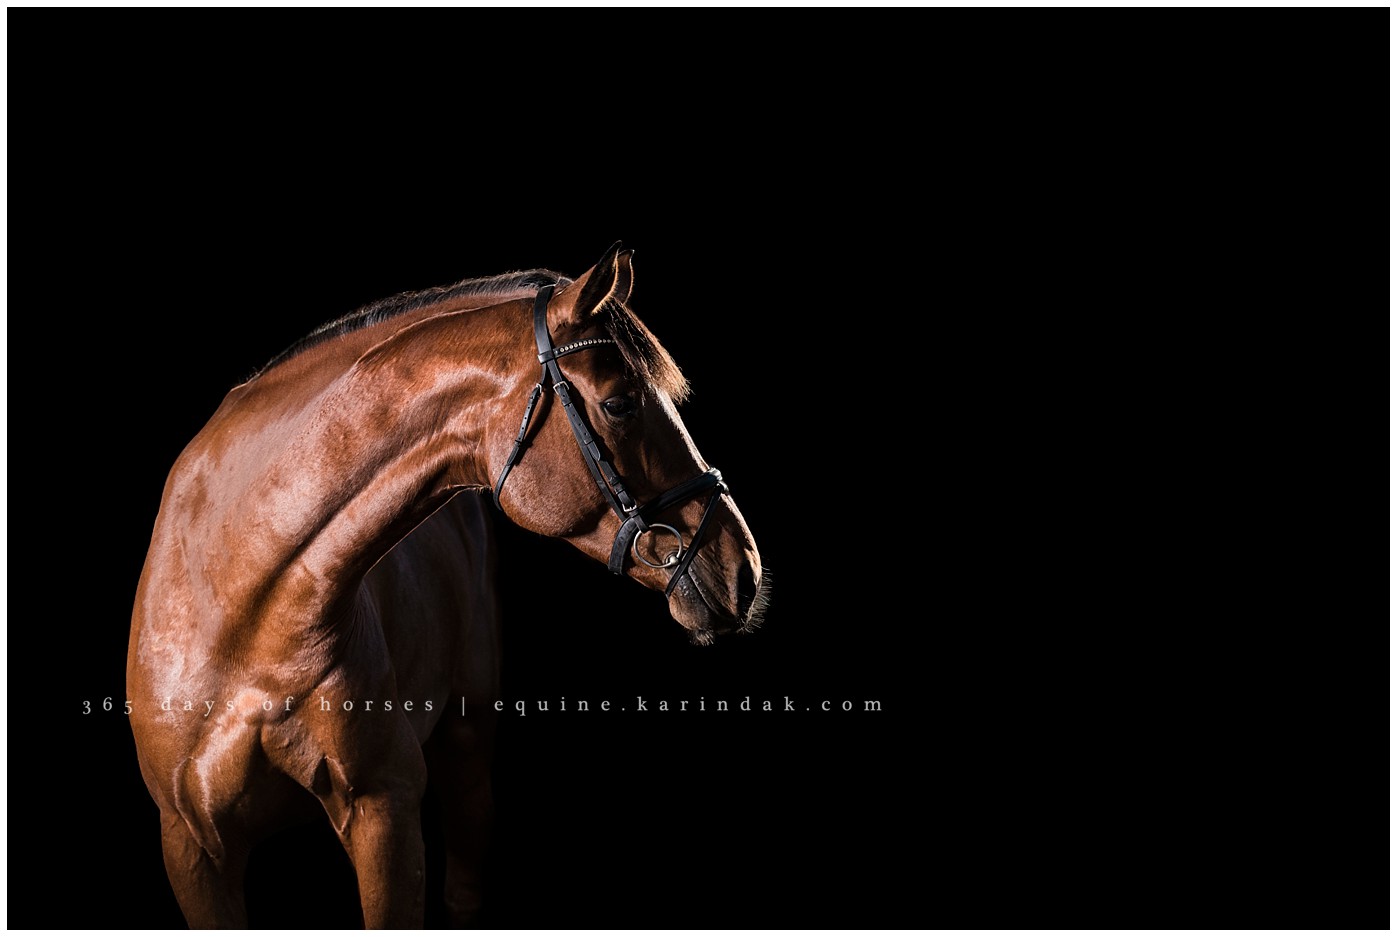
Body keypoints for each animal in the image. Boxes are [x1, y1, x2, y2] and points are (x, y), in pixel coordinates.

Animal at [126, 243, 766, 928]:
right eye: (621, 402)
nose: (744, 569)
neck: (243, 616)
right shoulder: (193, 847)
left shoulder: (385, 812)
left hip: (469, 744)